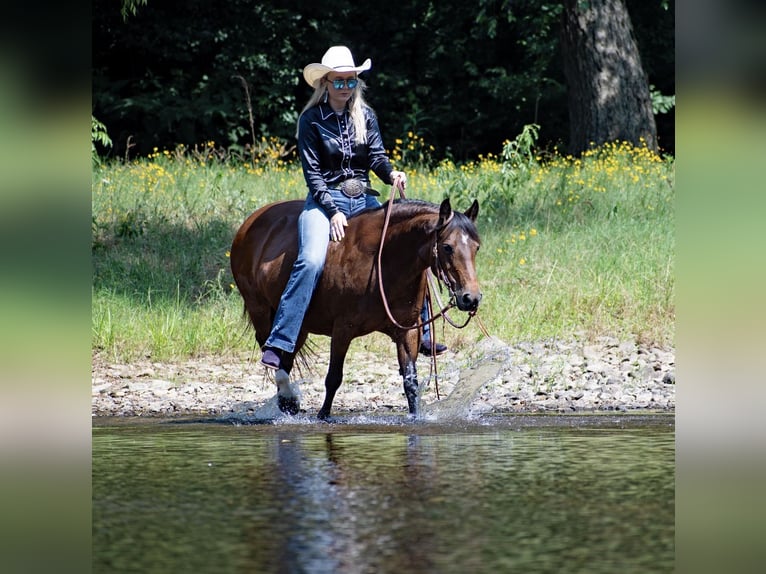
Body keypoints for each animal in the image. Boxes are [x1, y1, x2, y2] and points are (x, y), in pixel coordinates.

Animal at [229, 197, 482, 419]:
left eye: (476, 247)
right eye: (447, 247)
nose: (471, 298)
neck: (382, 262)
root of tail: (249, 224)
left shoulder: (408, 331)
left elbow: (410, 381)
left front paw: (415, 415)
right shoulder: (343, 328)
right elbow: (333, 378)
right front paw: (323, 416)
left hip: (300, 327)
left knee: (287, 355)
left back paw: (287, 402)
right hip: (261, 311)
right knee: (270, 349)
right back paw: (286, 396)